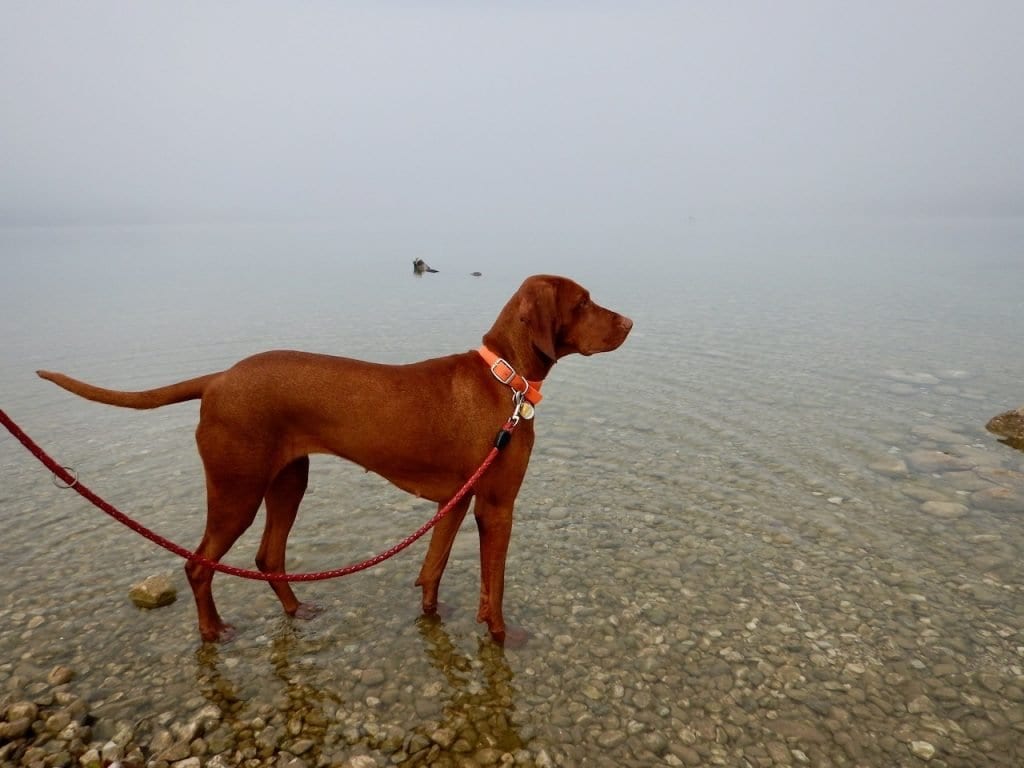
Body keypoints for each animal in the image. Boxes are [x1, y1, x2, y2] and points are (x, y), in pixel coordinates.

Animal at [37, 274, 630, 647]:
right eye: (583, 302)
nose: (629, 322)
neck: (504, 379)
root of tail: (219, 378)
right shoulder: (496, 505)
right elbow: (494, 590)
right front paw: (503, 638)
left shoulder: (456, 502)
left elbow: (432, 569)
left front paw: (432, 616)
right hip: (237, 490)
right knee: (197, 564)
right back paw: (212, 632)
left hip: (287, 481)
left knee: (267, 556)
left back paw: (297, 611)